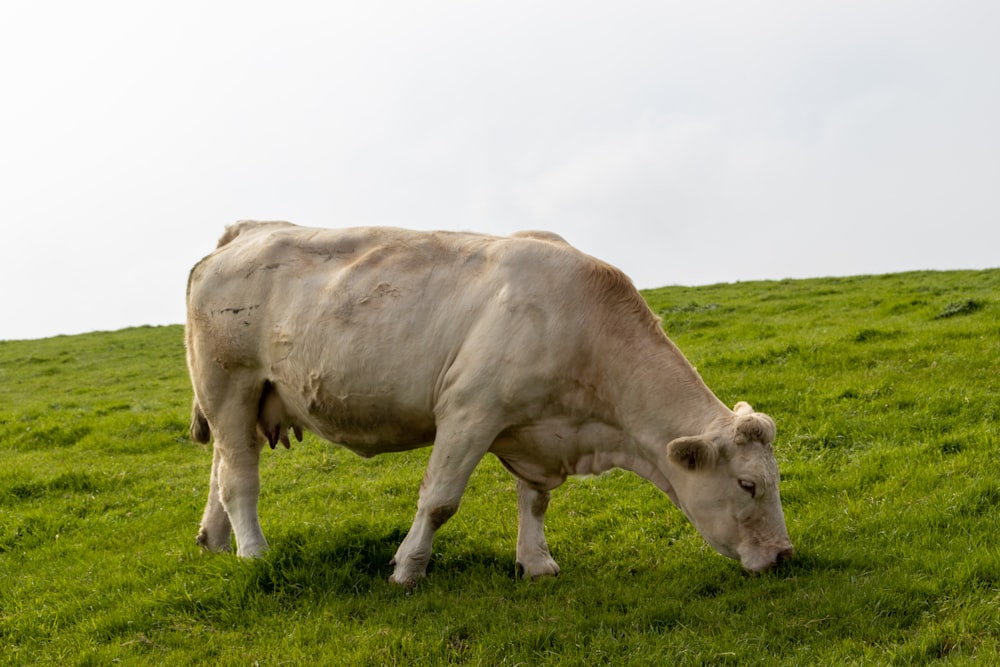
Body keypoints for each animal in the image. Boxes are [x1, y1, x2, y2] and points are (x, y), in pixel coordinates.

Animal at [188, 223, 792, 584]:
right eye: (747, 485)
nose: (785, 555)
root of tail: (247, 231)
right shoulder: (469, 412)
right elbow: (439, 501)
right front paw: (407, 569)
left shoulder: (536, 428)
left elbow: (535, 502)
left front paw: (536, 562)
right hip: (230, 385)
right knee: (239, 479)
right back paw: (252, 553)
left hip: (245, 402)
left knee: (221, 469)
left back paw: (213, 544)